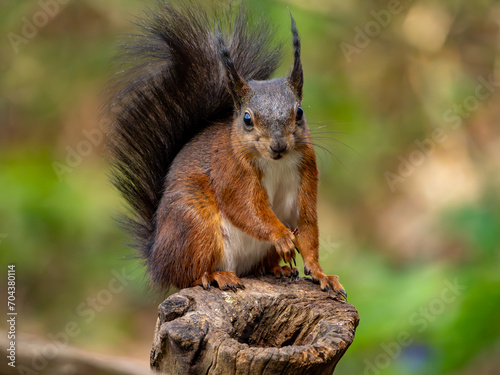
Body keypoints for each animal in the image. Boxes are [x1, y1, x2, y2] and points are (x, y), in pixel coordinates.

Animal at [106, 0, 344, 300]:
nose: (278, 145)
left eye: (299, 112)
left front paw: (321, 274)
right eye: (247, 118)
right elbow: (246, 208)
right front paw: (282, 236)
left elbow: (308, 228)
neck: (276, 163)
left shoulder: (306, 173)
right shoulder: (231, 173)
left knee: (257, 267)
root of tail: (156, 257)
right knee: (187, 275)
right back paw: (216, 275)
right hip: (196, 227)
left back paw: (276, 269)